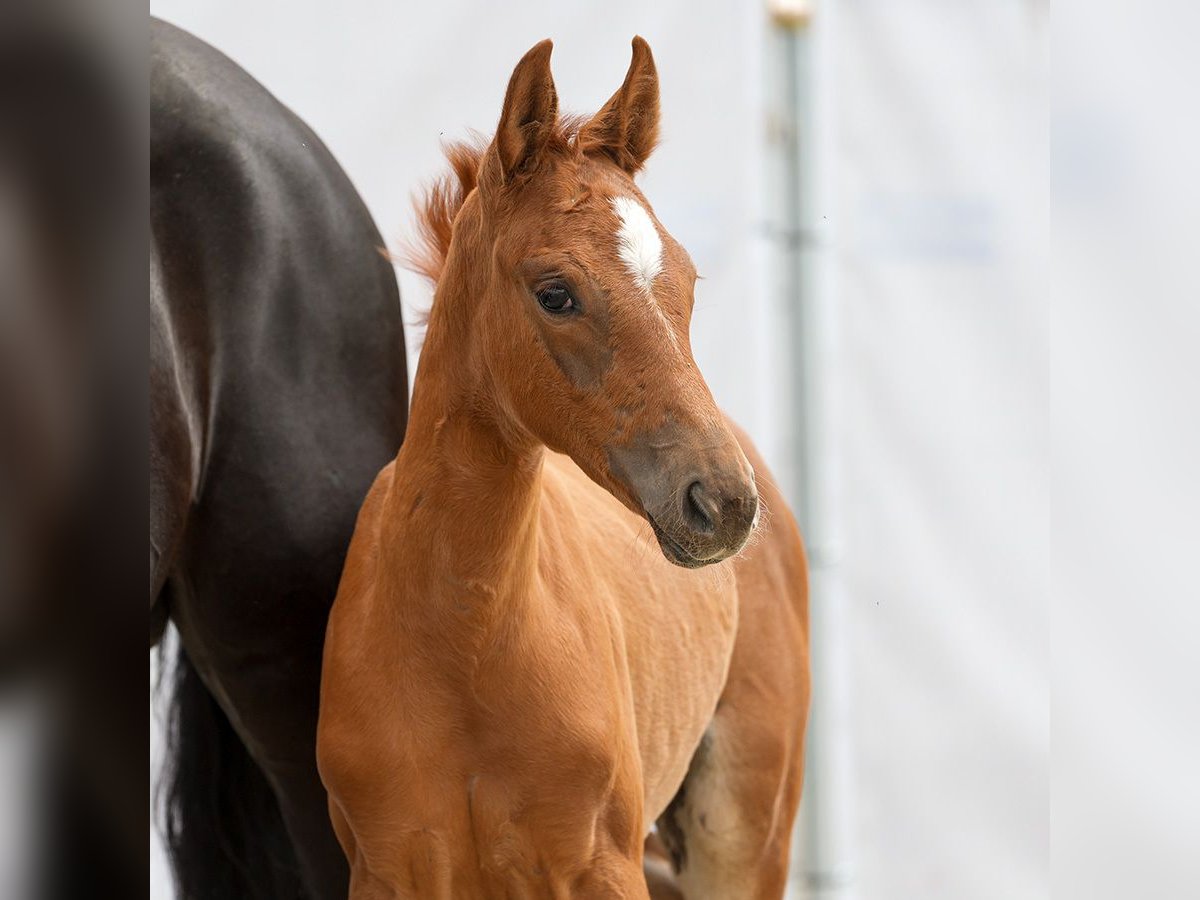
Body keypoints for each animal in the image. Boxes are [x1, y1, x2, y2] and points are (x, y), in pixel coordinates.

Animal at [314, 37, 811, 900]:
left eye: (688, 281)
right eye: (556, 293)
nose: (722, 502)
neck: (465, 643)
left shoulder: (601, 866)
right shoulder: (387, 869)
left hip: (746, 833)